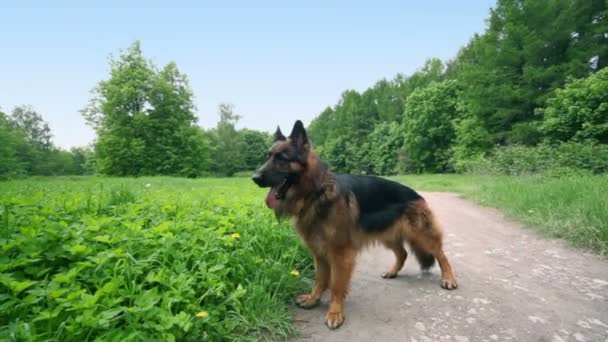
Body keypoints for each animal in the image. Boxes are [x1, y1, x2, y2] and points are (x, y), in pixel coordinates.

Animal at [251, 121, 456, 330]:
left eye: (282, 158)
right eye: (268, 156)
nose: (255, 177)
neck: (316, 194)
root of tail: (416, 194)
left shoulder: (341, 254)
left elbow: (336, 285)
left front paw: (335, 312)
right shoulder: (319, 252)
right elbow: (320, 279)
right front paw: (313, 299)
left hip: (423, 235)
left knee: (441, 255)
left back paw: (449, 278)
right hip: (388, 235)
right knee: (403, 253)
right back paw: (392, 272)